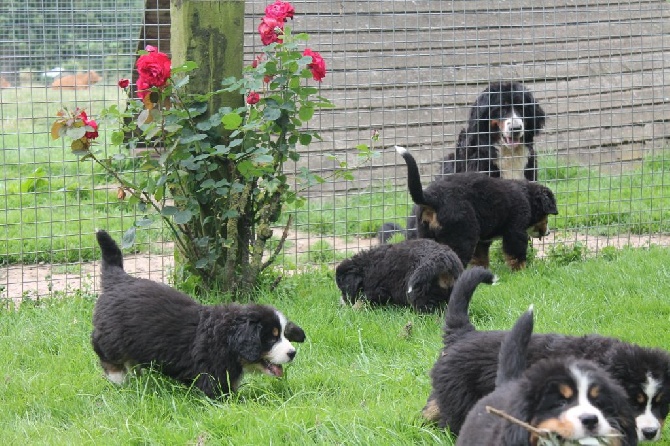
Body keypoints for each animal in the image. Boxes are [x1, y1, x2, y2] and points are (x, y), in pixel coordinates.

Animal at [92, 230, 308, 398]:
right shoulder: (214, 380)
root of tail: (119, 279)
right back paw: (120, 380)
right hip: (110, 338)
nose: (293, 353)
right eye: (271, 338)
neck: (227, 340)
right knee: (106, 355)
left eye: (283, 334)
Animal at [334, 239, 462, 312]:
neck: (366, 267)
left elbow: (365, 298)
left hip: (420, 293)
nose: (345, 301)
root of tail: (445, 259)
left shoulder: (377, 289)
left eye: (343, 288)